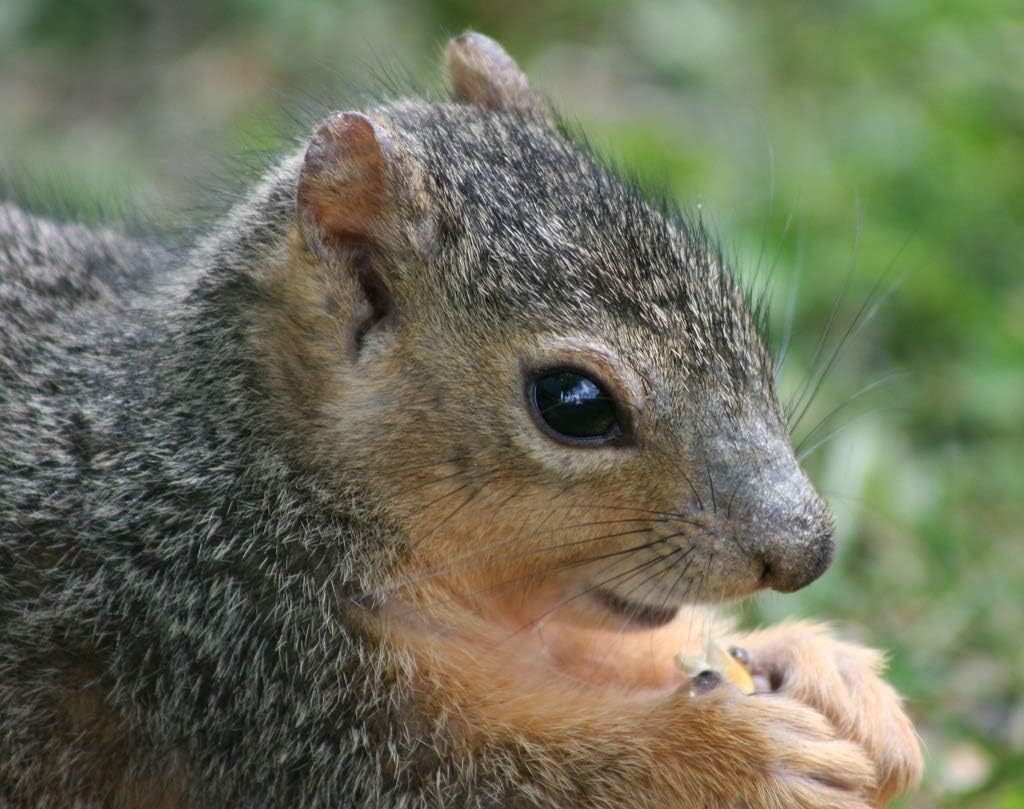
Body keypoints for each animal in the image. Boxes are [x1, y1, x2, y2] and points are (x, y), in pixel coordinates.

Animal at [0, 32, 922, 809]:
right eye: (574, 403)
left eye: (732, 305)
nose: (806, 550)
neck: (246, 469)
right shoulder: (238, 665)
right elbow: (490, 777)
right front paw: (743, 756)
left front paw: (827, 670)